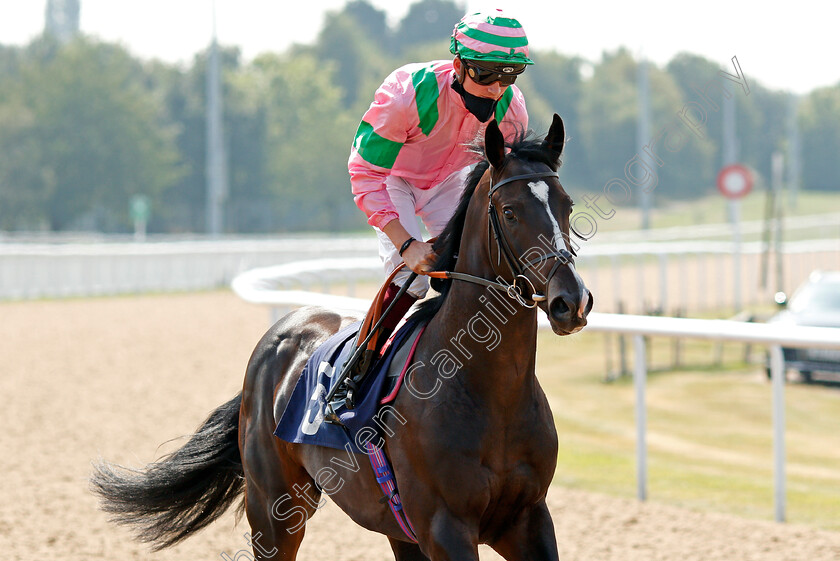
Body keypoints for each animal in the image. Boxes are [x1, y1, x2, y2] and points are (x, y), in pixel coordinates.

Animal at [90, 112, 592, 556]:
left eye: (567, 206)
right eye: (510, 212)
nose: (571, 301)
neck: (491, 392)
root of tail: (280, 333)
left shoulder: (527, 519)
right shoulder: (445, 528)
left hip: (393, 526)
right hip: (274, 510)